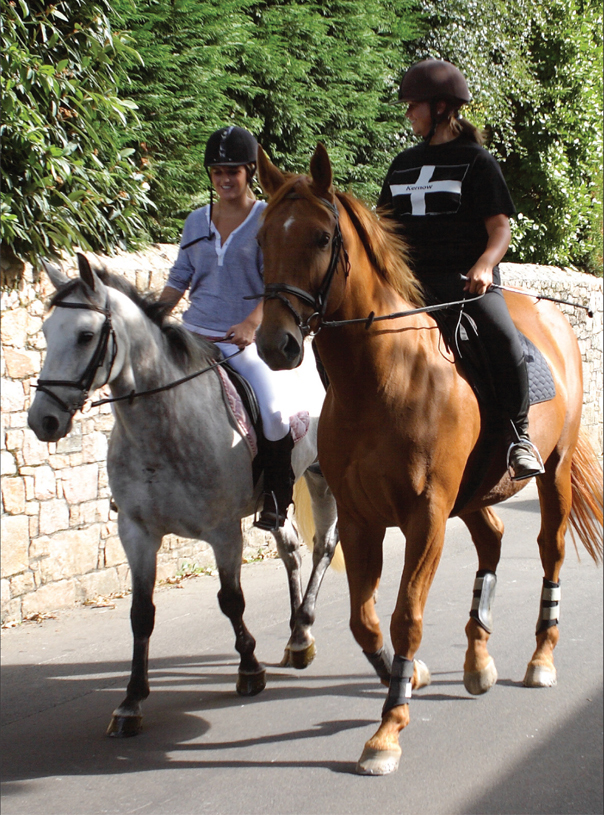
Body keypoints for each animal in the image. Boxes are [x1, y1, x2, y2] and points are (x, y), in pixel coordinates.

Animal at [28, 255, 340, 740]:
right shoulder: (136, 533)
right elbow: (141, 613)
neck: (164, 425)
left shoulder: (223, 532)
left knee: (324, 545)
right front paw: (131, 702)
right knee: (291, 551)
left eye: (85, 335)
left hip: (322, 475)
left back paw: (303, 628)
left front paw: (249, 669)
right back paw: (295, 640)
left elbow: (231, 600)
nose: (43, 420)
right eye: (45, 332)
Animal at [256, 143, 604, 776]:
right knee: (492, 541)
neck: (382, 378)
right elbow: (364, 619)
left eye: (321, 237)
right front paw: (407, 679)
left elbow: (407, 615)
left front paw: (387, 730)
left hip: (555, 472)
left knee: (550, 551)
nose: (277, 345)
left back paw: (541, 657)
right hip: (472, 496)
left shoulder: (425, 516)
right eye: (263, 238)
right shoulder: (363, 519)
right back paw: (477, 659)